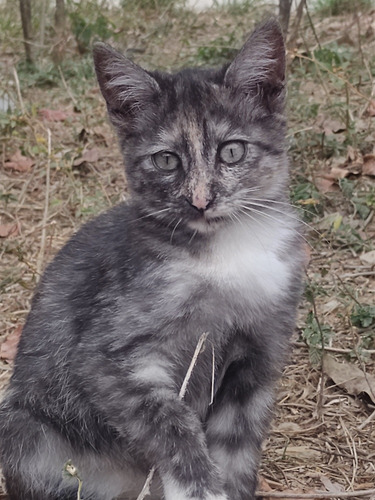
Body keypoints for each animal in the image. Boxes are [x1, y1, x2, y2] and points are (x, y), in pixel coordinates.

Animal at [0, 17, 306, 500]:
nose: (200, 200)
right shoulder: (106, 357)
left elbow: (237, 448)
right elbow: (170, 420)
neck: (225, 251)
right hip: (22, 431)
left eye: (232, 150)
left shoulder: (256, 361)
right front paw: (199, 486)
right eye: (166, 160)